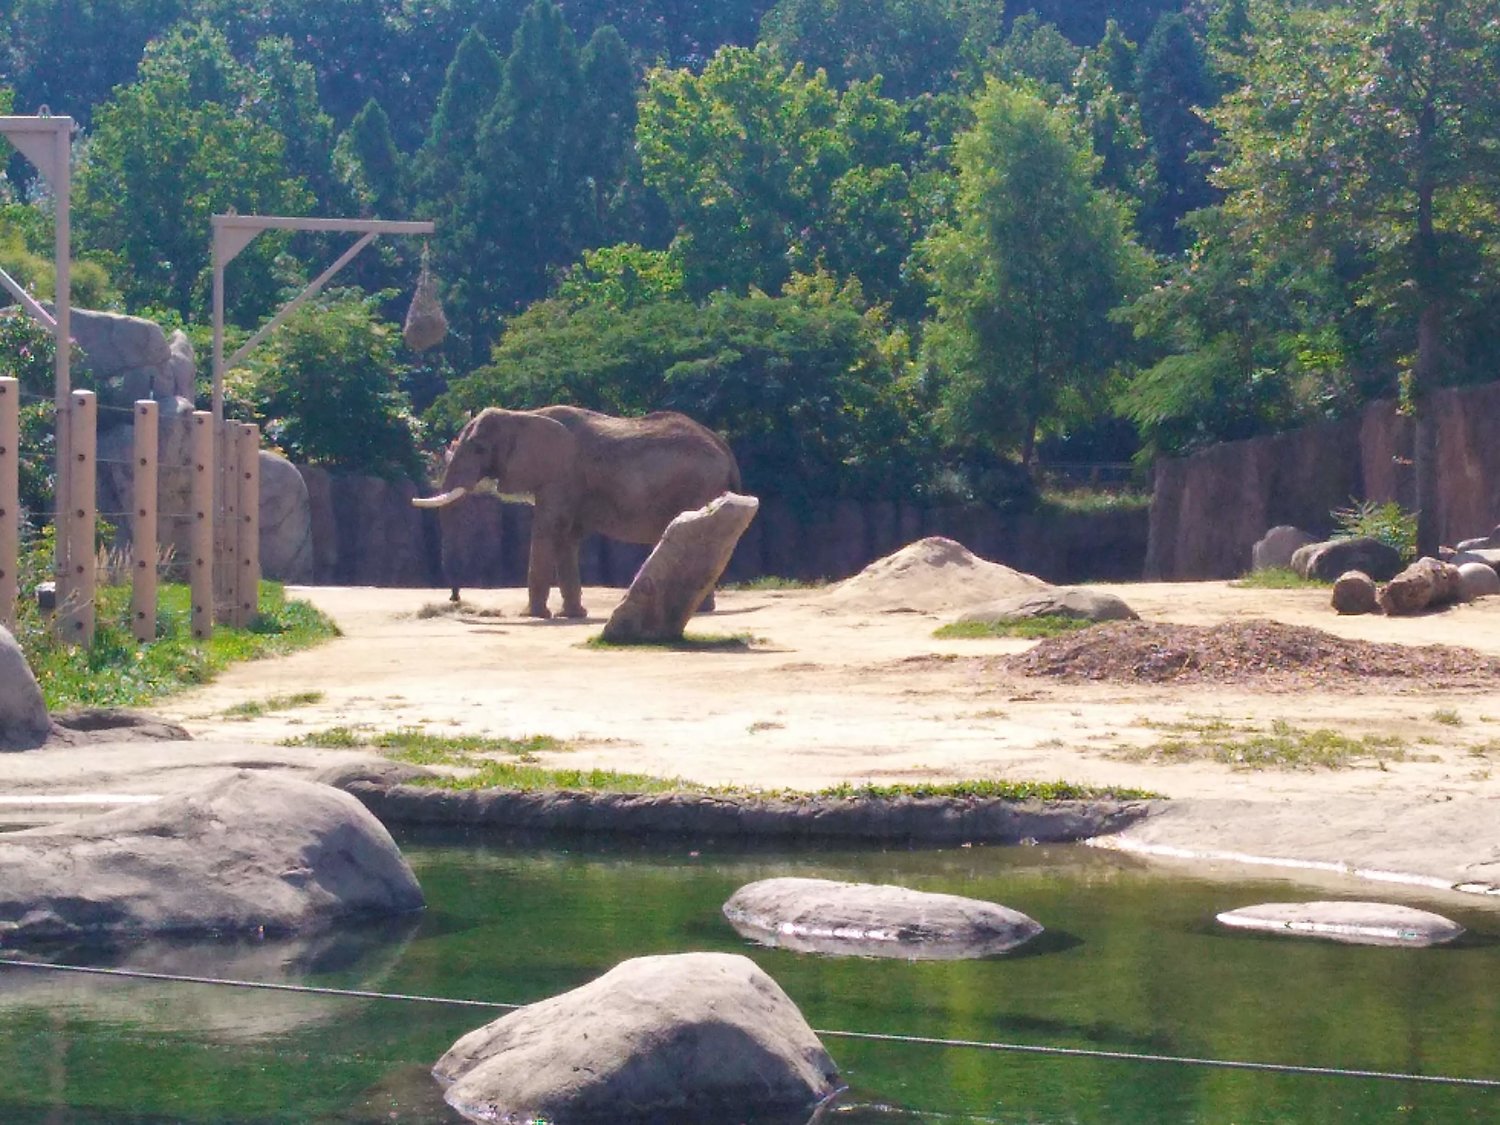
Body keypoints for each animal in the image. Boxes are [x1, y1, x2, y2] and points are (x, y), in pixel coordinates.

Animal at [414, 405, 741, 618]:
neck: (523, 414)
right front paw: (572, 615)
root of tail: (726, 449)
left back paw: (702, 610)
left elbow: (547, 529)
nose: (455, 598)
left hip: (700, 486)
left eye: (480, 448)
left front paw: (533, 615)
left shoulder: (561, 476)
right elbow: (566, 536)